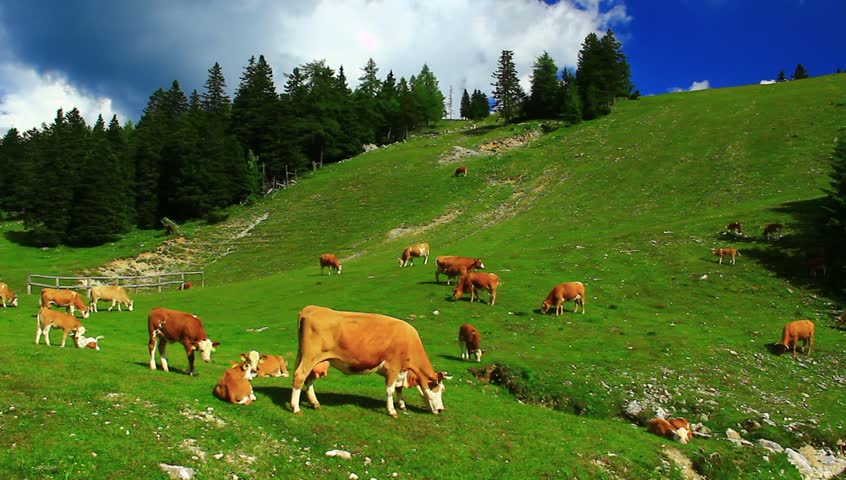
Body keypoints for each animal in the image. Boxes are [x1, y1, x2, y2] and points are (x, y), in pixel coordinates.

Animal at [290, 306, 450, 418]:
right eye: (441, 389)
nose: (441, 409)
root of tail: (312, 308)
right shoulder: (393, 366)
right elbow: (390, 389)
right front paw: (392, 411)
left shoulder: (401, 370)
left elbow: (399, 388)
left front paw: (402, 405)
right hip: (311, 356)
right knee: (300, 375)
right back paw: (295, 407)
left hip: (305, 356)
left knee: (308, 378)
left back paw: (314, 403)